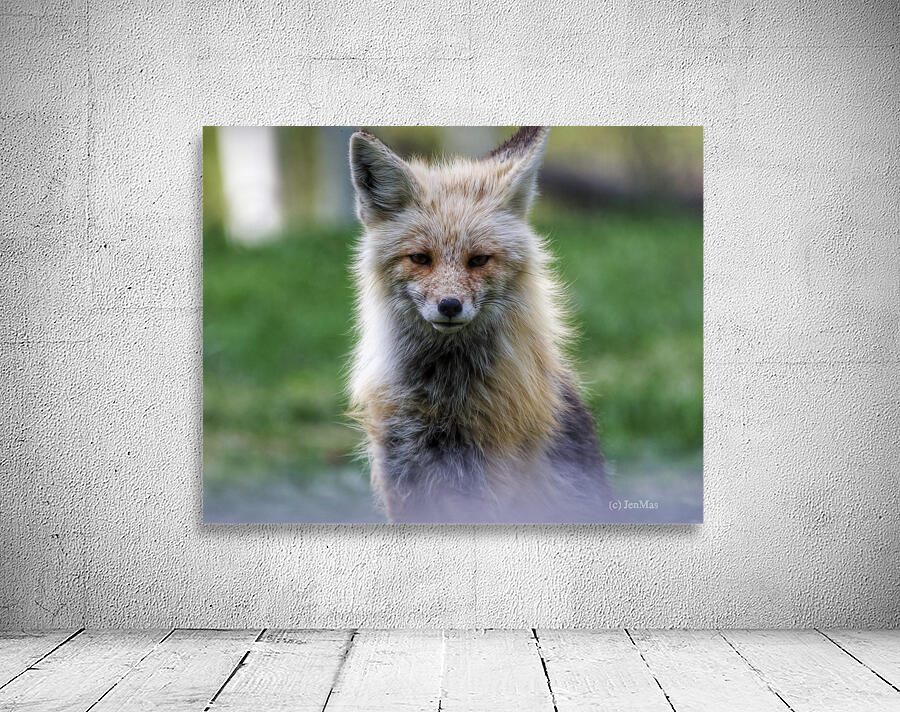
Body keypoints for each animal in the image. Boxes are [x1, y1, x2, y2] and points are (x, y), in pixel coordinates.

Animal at [347, 126, 609, 523]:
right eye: (420, 258)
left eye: (479, 260)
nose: (449, 306)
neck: (443, 401)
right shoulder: (401, 477)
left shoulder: (487, 485)